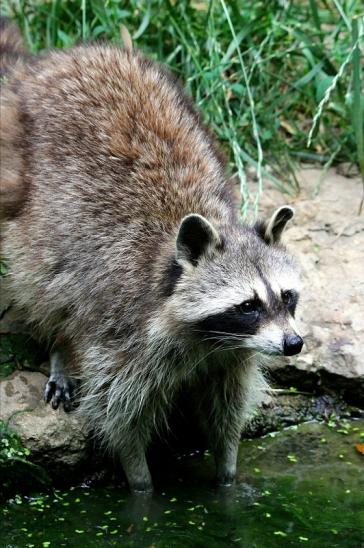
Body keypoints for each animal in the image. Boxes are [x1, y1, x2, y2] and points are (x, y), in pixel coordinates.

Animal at [0, 20, 302, 492]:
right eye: (248, 305)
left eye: (287, 297)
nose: (294, 344)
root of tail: (41, 65)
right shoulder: (124, 335)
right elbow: (119, 415)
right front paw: (141, 483)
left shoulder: (232, 356)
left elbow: (226, 410)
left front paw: (228, 474)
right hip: (29, 204)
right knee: (44, 283)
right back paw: (58, 347)